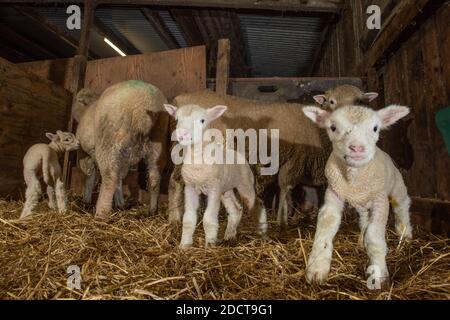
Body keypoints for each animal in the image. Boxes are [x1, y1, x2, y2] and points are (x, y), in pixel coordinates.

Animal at [93, 80, 169, 220]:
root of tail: (145, 102)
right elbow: (120, 176)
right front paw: (120, 202)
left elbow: (117, 177)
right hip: (158, 140)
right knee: (155, 177)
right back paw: (152, 211)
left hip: (109, 141)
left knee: (110, 177)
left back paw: (101, 214)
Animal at [164, 102, 266, 248]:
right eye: (177, 119)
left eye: (202, 120)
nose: (182, 134)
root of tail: (238, 154)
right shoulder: (190, 188)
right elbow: (188, 219)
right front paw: (185, 245)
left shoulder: (213, 190)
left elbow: (208, 219)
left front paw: (210, 244)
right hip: (225, 190)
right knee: (236, 209)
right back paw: (229, 236)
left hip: (245, 185)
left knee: (257, 203)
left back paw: (262, 232)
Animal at [300, 104, 414, 288]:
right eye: (333, 127)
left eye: (375, 128)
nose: (357, 148)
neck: (354, 178)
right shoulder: (334, 193)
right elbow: (327, 225)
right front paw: (317, 269)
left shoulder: (380, 200)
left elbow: (374, 235)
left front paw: (379, 274)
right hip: (363, 205)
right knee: (365, 220)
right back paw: (361, 242)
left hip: (397, 185)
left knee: (402, 205)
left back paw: (405, 235)